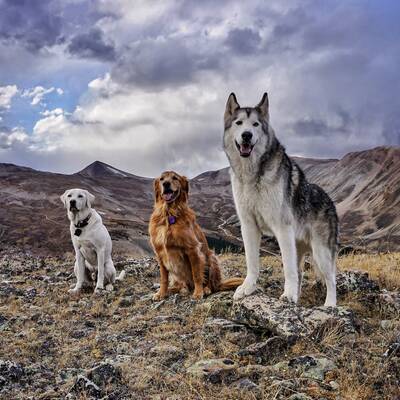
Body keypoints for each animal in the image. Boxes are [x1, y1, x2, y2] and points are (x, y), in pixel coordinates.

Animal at [222, 94, 338, 306]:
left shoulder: (282, 228)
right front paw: (247, 288)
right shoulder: (248, 226)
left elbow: (288, 269)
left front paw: (288, 295)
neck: (252, 174)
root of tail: (330, 202)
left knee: (331, 279)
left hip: (320, 253)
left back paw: (330, 305)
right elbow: (252, 263)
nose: (246, 135)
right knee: (301, 274)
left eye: (255, 124)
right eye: (239, 123)